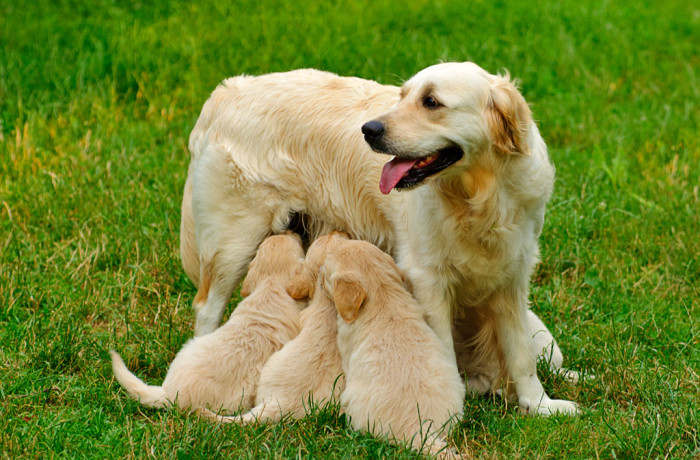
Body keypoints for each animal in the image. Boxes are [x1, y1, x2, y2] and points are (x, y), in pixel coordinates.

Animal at [180, 62, 580, 416]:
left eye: (431, 101)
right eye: (403, 96)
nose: (369, 129)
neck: (478, 196)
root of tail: (227, 91)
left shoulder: (513, 273)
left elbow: (521, 353)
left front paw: (540, 406)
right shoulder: (428, 278)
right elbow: (444, 348)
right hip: (234, 241)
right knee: (207, 308)